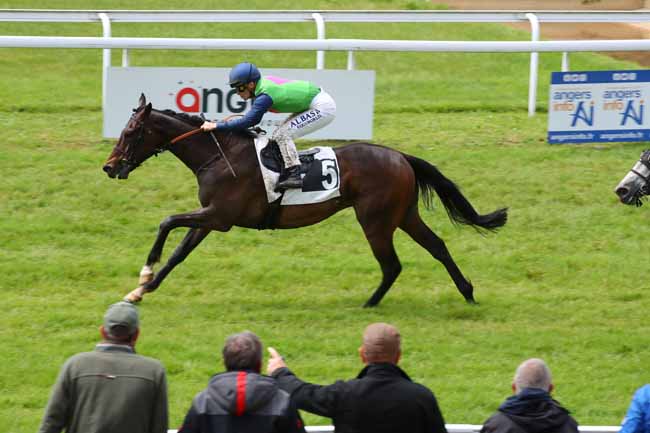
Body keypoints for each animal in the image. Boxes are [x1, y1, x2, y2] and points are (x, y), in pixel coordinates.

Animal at [101, 94, 506, 306]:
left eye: (132, 132)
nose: (109, 167)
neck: (219, 155)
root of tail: (401, 156)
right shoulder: (211, 217)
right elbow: (179, 252)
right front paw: (141, 290)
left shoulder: (219, 216)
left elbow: (167, 221)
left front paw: (145, 272)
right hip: (403, 214)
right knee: (437, 246)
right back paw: (468, 292)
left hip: (375, 219)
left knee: (392, 265)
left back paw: (369, 303)